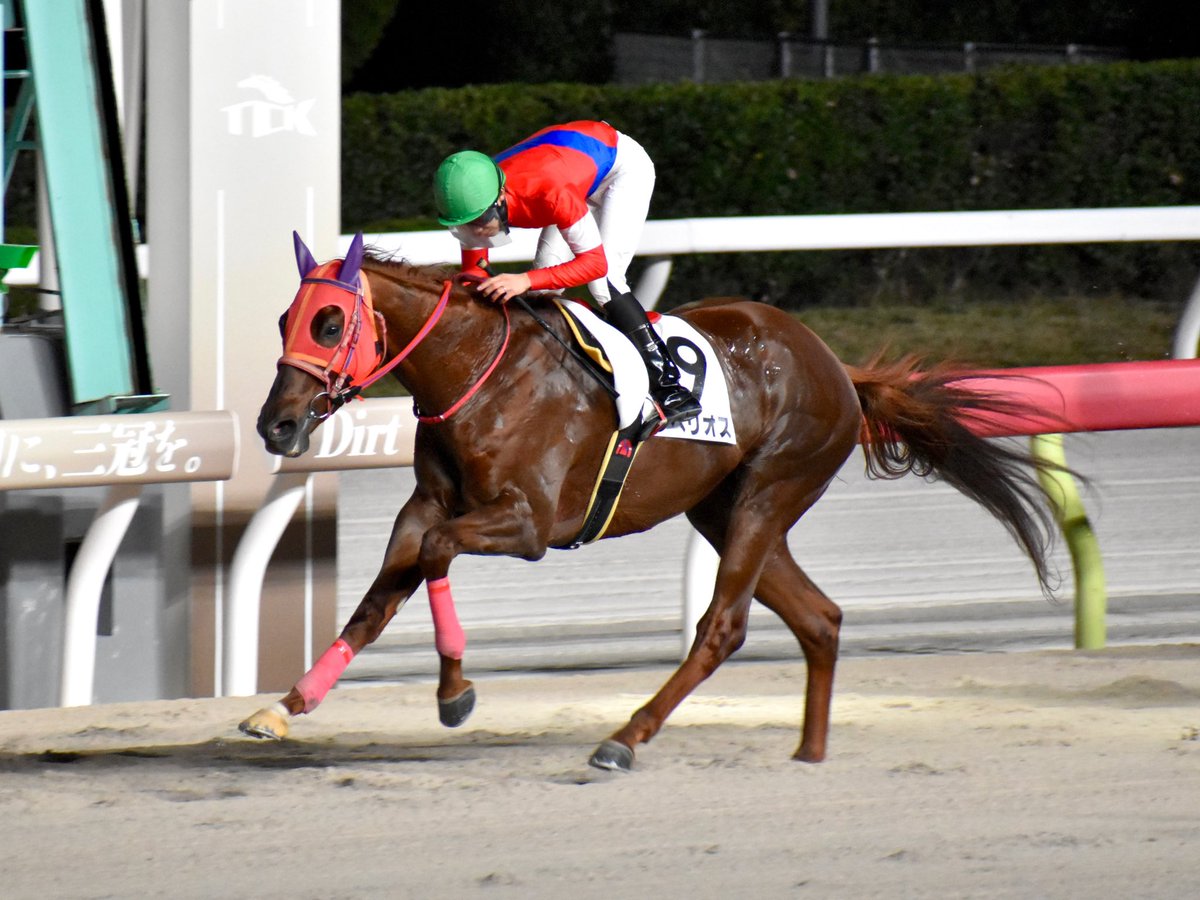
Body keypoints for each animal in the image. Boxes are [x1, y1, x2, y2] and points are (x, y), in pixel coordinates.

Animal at [240, 232, 1059, 770]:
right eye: (284, 321)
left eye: (330, 323)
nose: (275, 425)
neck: (478, 373)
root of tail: (837, 365)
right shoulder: (424, 507)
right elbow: (377, 600)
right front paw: (284, 705)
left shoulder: (528, 523)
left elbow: (439, 556)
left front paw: (455, 693)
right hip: (722, 509)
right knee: (820, 619)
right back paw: (808, 752)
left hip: (769, 492)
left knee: (723, 626)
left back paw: (625, 738)